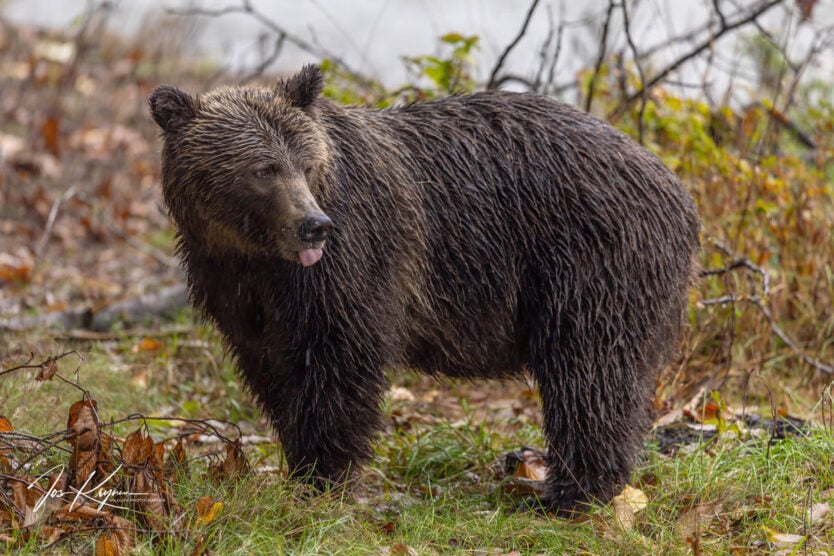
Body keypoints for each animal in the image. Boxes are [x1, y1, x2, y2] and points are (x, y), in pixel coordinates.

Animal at [148, 65, 696, 512]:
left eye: (305, 163)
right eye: (263, 169)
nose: (314, 226)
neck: (254, 255)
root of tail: (679, 191)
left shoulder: (350, 264)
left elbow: (339, 364)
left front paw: (326, 476)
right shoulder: (239, 290)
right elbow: (272, 369)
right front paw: (300, 468)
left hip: (590, 266)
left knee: (591, 373)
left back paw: (569, 493)